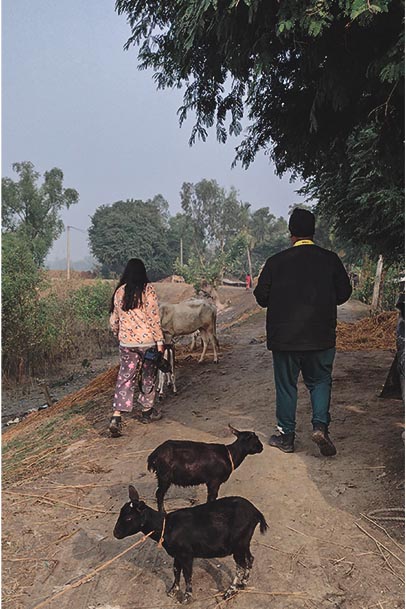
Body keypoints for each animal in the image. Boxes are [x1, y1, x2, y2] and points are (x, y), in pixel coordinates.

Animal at [112, 484, 268, 604]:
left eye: (129, 518)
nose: (116, 533)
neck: (165, 526)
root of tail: (256, 512)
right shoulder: (177, 554)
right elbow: (176, 571)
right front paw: (172, 591)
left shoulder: (186, 554)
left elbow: (187, 574)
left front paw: (187, 598)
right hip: (244, 542)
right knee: (249, 559)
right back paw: (243, 584)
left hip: (238, 543)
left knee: (240, 565)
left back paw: (230, 591)